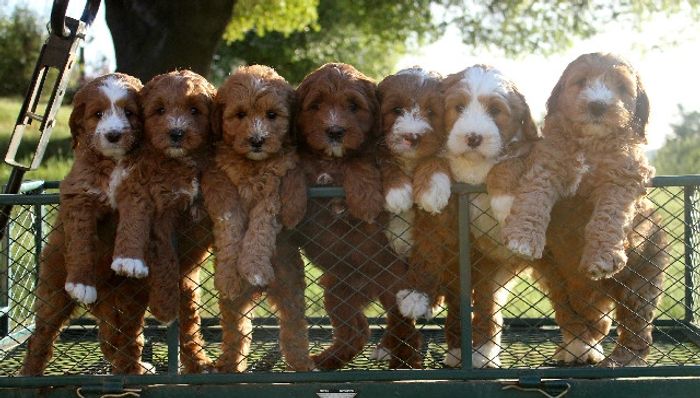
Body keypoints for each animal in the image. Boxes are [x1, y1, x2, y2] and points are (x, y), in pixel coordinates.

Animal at [22, 73, 154, 374]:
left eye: (129, 113)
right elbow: (82, 241)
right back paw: (29, 375)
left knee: (121, 338)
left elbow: (133, 223)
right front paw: (81, 282)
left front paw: (129, 260)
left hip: (128, 300)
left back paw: (133, 368)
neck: (113, 163)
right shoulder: (79, 196)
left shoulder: (138, 189)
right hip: (53, 291)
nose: (114, 135)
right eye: (97, 114)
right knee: (42, 336)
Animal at [201, 65, 314, 374]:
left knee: (293, 326)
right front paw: (231, 272)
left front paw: (253, 265)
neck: (252, 165)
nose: (257, 141)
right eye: (239, 114)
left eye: (272, 115)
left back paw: (302, 362)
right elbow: (230, 226)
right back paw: (228, 363)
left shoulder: (273, 189)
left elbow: (260, 228)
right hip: (231, 305)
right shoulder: (220, 182)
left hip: (291, 289)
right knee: (236, 329)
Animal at [292, 62, 422, 370]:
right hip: (338, 292)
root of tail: (369, 285)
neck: (331, 159)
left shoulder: (371, 155)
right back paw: (326, 360)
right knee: (357, 331)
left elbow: (360, 161)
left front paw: (362, 199)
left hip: (395, 287)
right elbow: (296, 165)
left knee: (405, 331)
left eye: (353, 106)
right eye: (316, 105)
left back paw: (404, 364)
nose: (335, 131)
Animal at [396, 63, 540, 368]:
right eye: (458, 107)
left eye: (496, 110)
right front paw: (432, 189)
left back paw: (482, 353)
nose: (473, 137)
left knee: (487, 307)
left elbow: (508, 162)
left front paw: (507, 202)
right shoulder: (440, 222)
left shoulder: (530, 151)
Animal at [506, 53, 664, 366]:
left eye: (621, 88)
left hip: (644, 275)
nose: (598, 105)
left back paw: (623, 359)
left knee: (636, 322)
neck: (590, 144)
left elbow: (609, 214)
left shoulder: (624, 176)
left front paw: (602, 257)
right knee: (579, 318)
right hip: (556, 279)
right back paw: (577, 348)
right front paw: (523, 239)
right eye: (580, 81)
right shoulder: (547, 165)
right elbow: (534, 197)